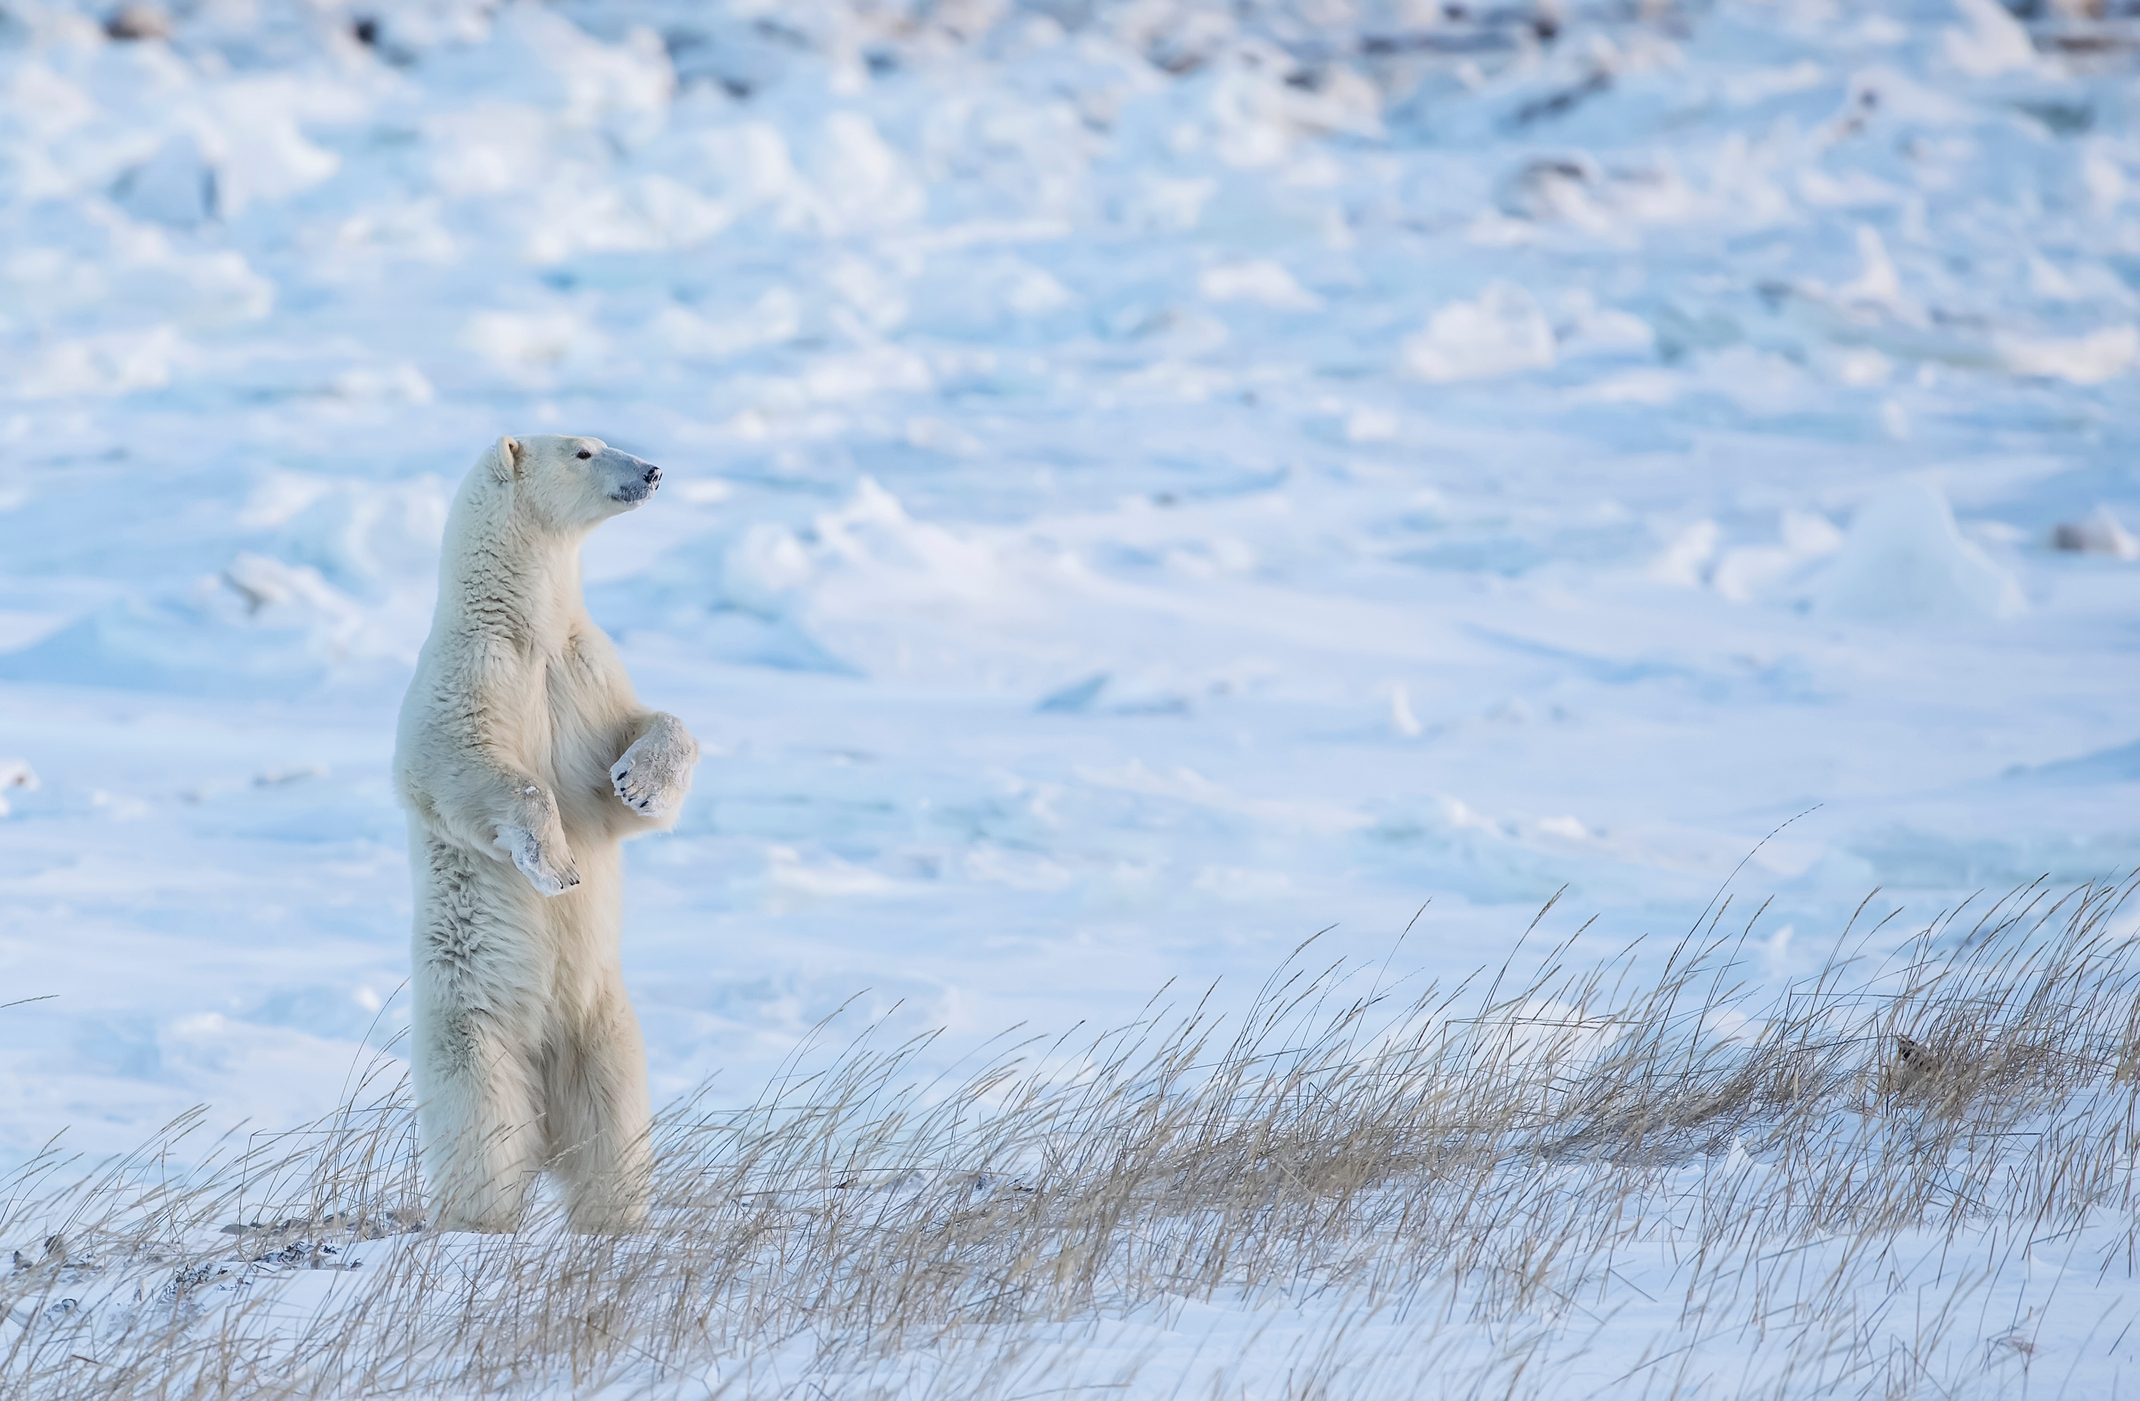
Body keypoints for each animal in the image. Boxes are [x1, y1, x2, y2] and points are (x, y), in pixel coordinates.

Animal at [393, 434, 699, 1233]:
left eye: (604, 438)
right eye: (584, 449)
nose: (652, 469)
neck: (526, 627)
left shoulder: (585, 669)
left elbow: (635, 753)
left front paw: (640, 781)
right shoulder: (471, 672)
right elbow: (460, 767)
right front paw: (558, 865)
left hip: (605, 1027)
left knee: (614, 1135)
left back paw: (615, 1219)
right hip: (472, 1024)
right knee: (488, 1137)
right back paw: (479, 1221)